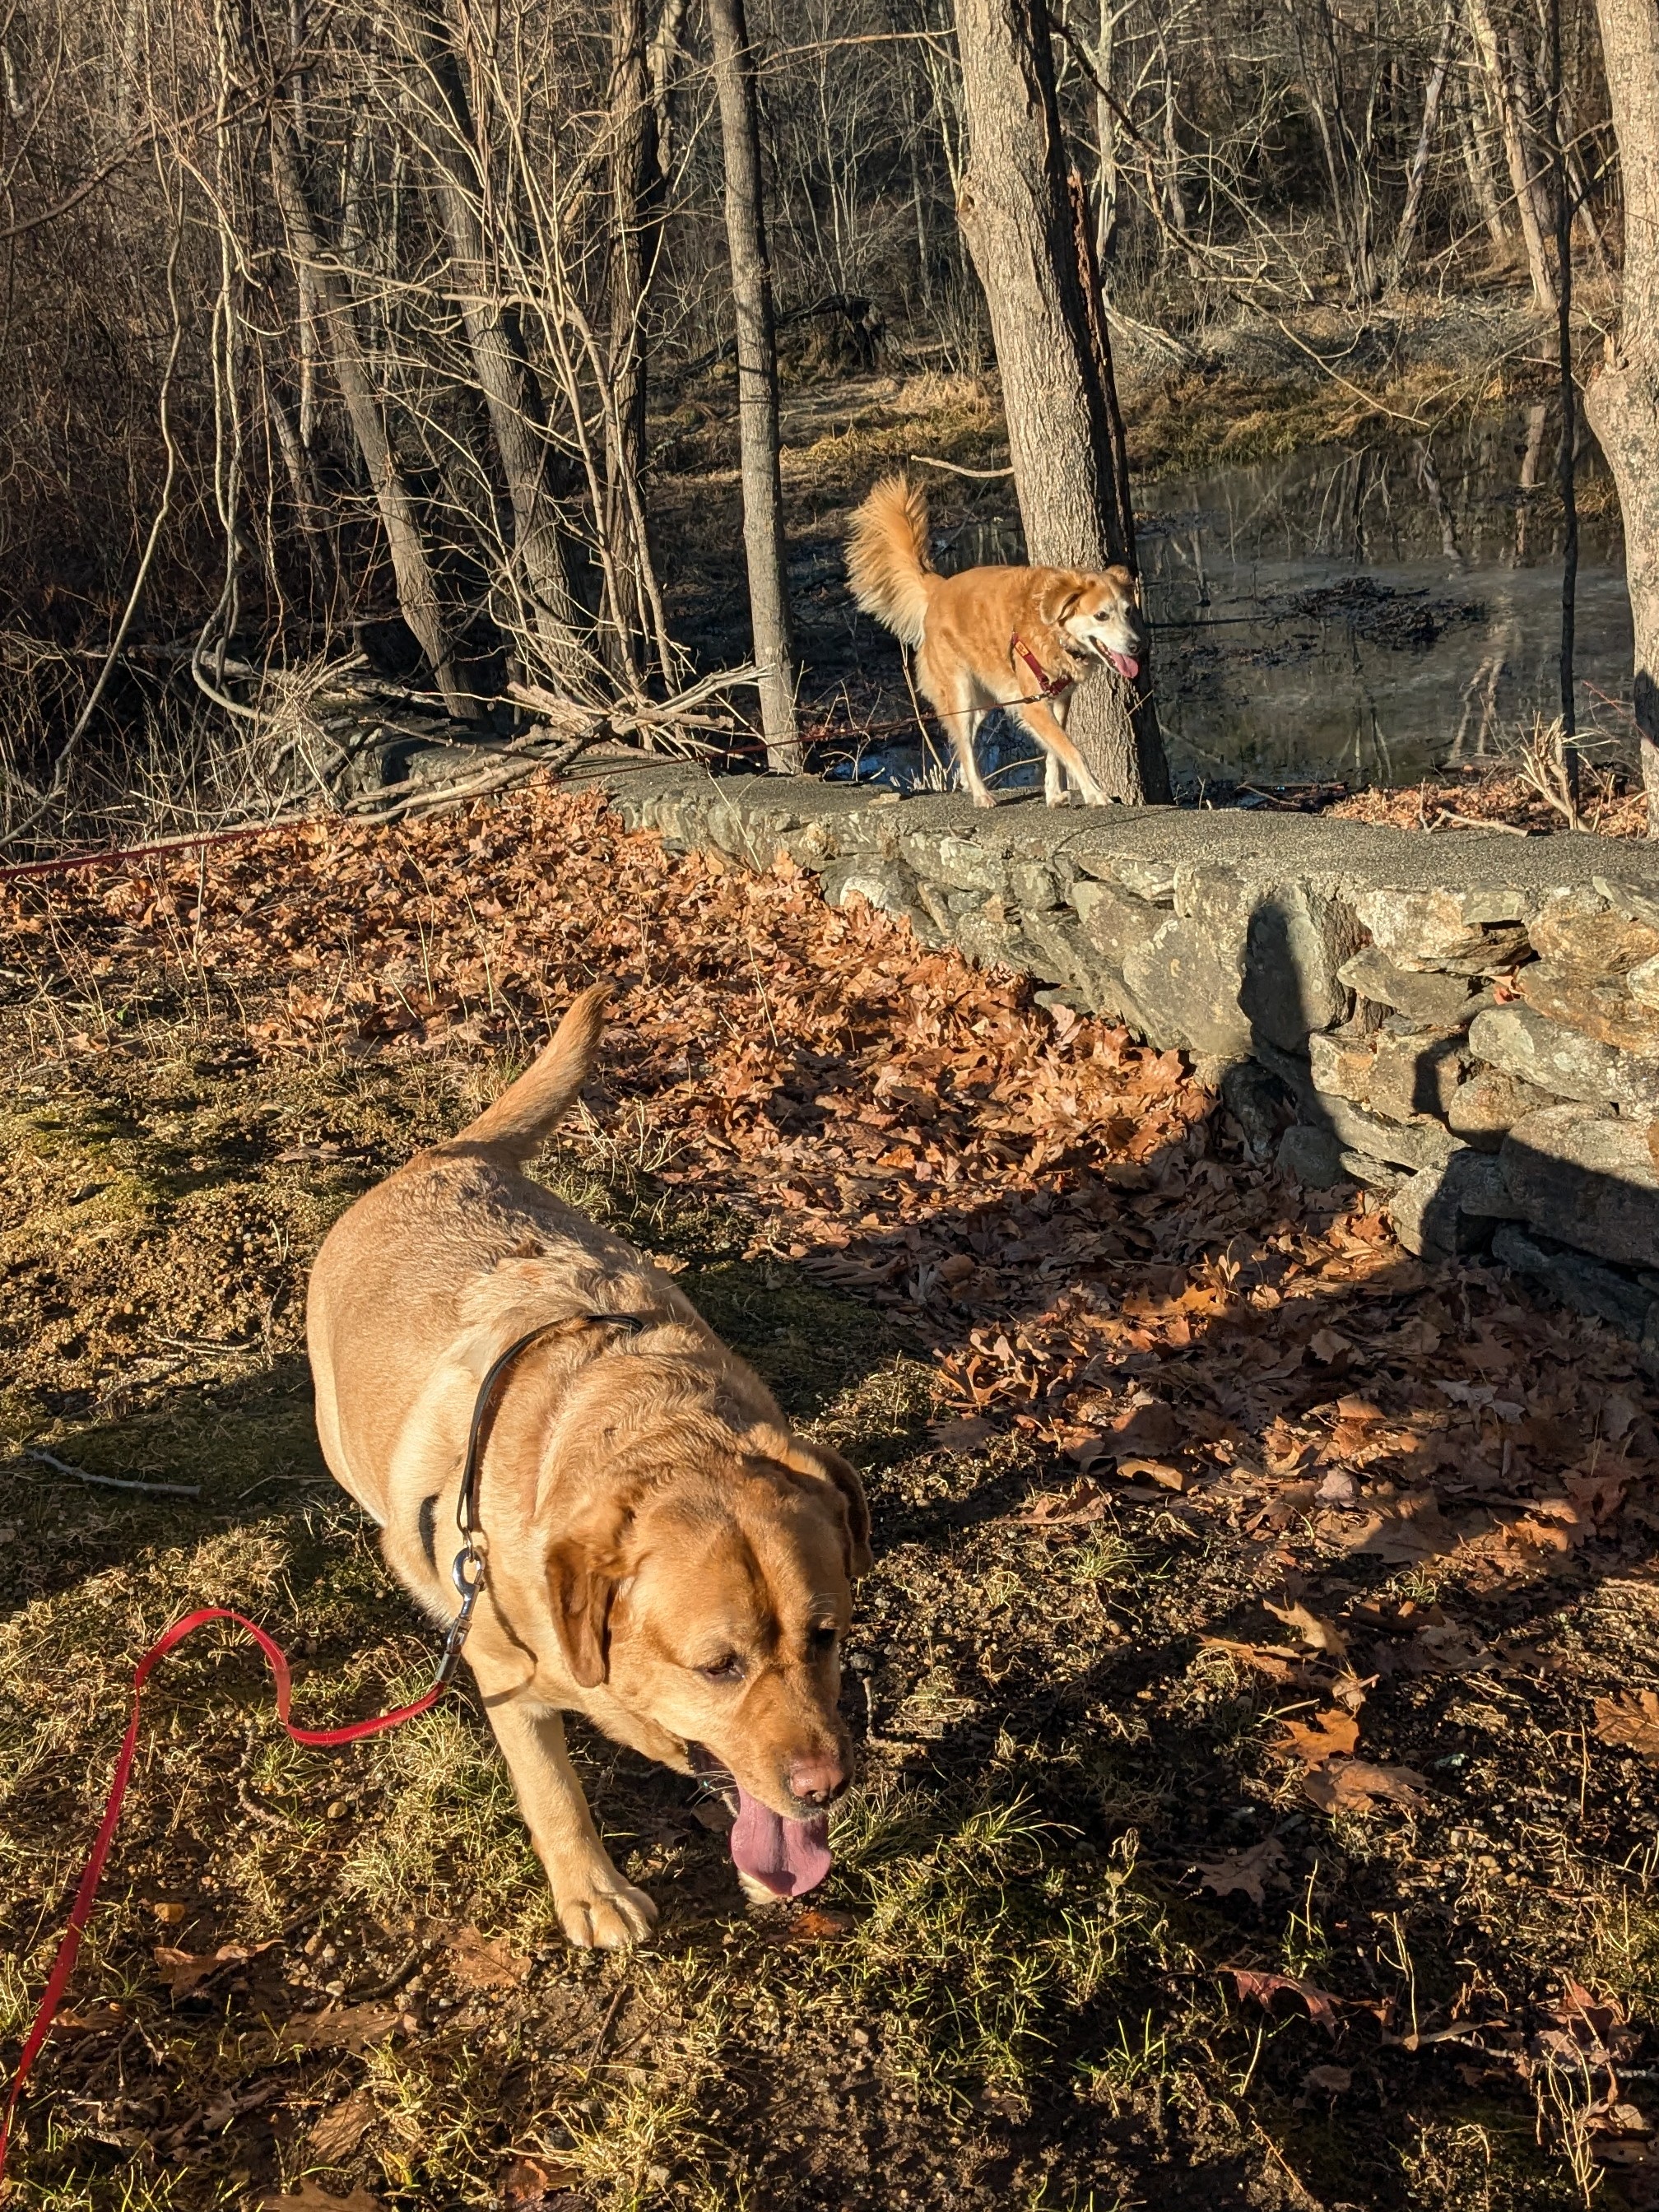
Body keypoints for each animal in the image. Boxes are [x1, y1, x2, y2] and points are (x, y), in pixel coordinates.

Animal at [306, 983, 871, 1948]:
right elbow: (553, 1791)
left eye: (824, 1637)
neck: (652, 1428)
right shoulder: (506, 1678)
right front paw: (592, 1890)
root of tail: (442, 1154)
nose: (826, 1787)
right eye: (718, 1667)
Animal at [847, 471, 1146, 807]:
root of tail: (939, 588)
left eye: (1128, 611)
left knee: (963, 742)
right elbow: (1071, 750)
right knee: (964, 743)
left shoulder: (1057, 701)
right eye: (1101, 616)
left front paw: (1054, 793)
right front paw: (1094, 792)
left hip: (985, 699)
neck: (1052, 630)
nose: (1136, 646)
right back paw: (980, 792)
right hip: (961, 690)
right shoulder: (1034, 705)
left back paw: (969, 781)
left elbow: (1055, 752)